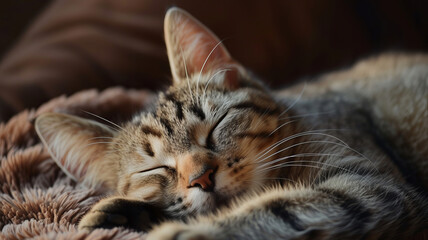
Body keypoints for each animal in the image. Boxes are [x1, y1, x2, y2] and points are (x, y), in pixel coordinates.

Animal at [35, 6, 426, 239]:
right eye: (155, 168)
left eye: (216, 126)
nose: (202, 177)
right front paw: (124, 214)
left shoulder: (371, 188)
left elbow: (273, 210)